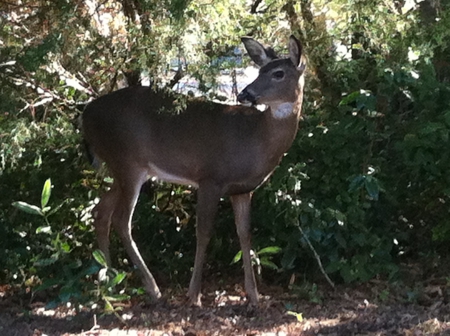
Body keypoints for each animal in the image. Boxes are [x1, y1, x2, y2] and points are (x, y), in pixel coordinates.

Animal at [81, 35, 306, 306]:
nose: (245, 93)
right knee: (121, 220)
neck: (256, 137)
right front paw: (194, 295)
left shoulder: (242, 190)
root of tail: (85, 115)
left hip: (123, 169)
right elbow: (203, 232)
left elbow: (245, 234)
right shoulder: (210, 177)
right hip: (126, 162)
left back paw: (109, 280)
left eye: (278, 73)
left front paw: (254, 295)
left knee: (100, 212)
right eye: (260, 70)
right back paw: (152, 289)